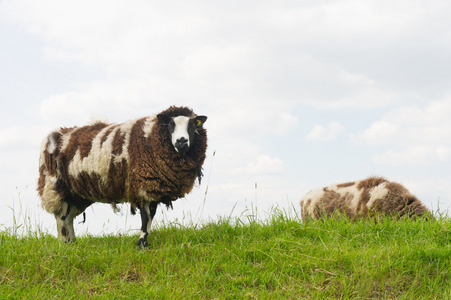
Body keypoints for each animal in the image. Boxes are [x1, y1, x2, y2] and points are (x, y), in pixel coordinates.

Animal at [38, 105, 209, 246]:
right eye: (170, 125)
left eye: (192, 125)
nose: (181, 142)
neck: (150, 137)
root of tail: (52, 136)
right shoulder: (141, 186)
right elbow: (146, 216)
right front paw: (141, 244)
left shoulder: (152, 188)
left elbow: (151, 216)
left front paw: (144, 241)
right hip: (56, 187)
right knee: (61, 217)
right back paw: (63, 243)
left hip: (77, 194)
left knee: (69, 217)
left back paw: (72, 243)